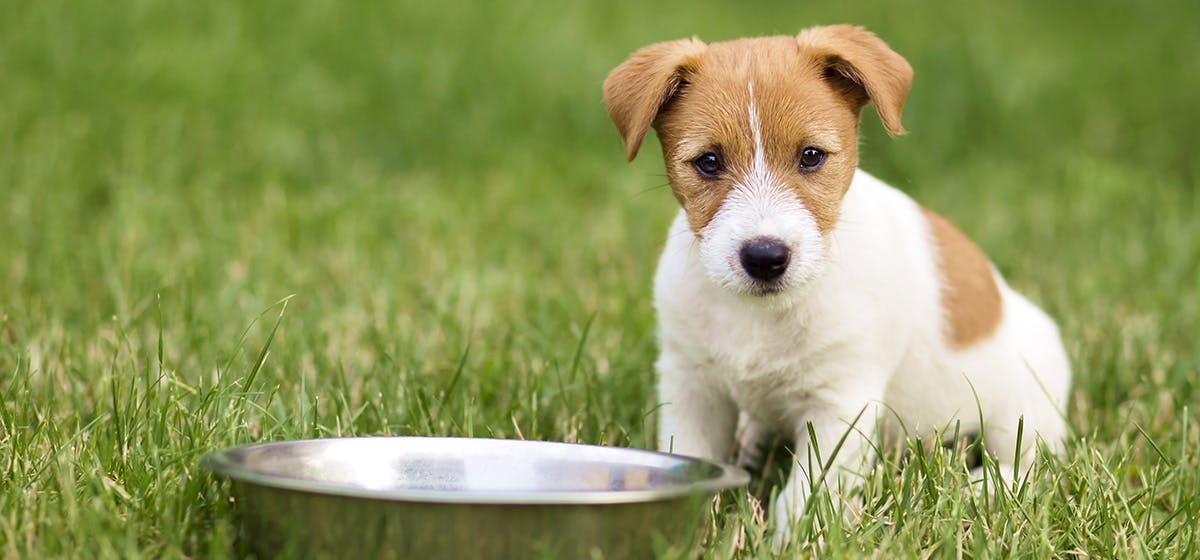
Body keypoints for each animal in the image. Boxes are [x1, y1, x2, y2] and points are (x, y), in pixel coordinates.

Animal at [604, 25, 1075, 544]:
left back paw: (980, 487)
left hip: (1025, 408)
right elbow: (693, 460)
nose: (765, 256)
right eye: (708, 162)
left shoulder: (840, 404)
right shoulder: (692, 386)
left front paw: (790, 543)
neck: (762, 314)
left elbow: (805, 494)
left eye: (811, 156)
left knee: (1029, 465)